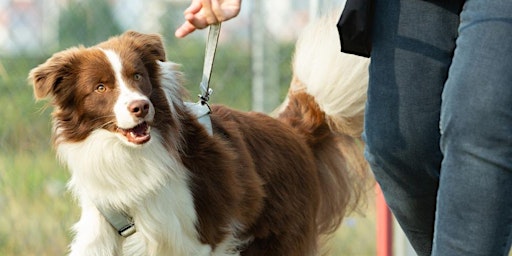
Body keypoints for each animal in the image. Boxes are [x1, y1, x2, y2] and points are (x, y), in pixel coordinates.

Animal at [28, 15, 370, 255]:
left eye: (137, 76)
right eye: (100, 87)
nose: (141, 107)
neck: (129, 157)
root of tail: (292, 130)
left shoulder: (197, 237)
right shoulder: (101, 233)